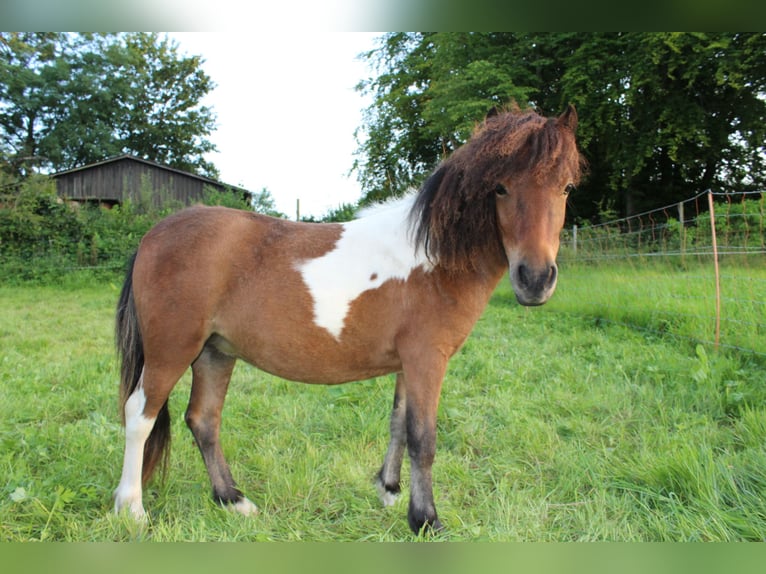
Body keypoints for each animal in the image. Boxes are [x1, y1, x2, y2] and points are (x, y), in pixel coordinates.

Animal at [113, 105, 583, 535]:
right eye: (500, 188)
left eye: (566, 187)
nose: (535, 279)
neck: (432, 258)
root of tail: (153, 235)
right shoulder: (427, 360)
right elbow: (424, 438)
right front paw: (426, 520)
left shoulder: (407, 364)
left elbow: (399, 424)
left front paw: (389, 492)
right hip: (172, 350)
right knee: (140, 414)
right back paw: (132, 509)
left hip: (215, 352)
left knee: (204, 420)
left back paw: (233, 500)